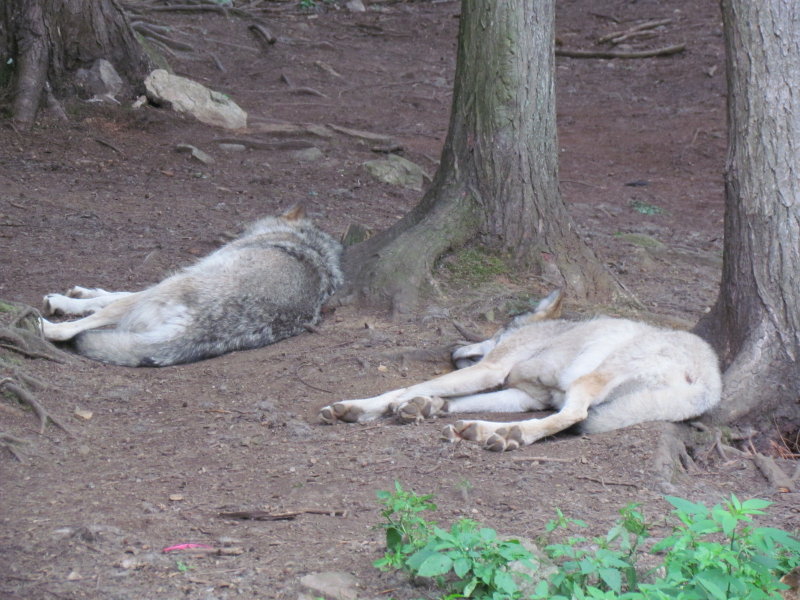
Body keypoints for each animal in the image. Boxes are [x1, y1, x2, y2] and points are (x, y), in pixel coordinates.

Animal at [40, 205, 340, 366]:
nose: (239, 227)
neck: (307, 240)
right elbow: (107, 294)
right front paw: (80, 293)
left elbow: (109, 299)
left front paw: (65, 303)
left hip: (171, 282)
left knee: (74, 329)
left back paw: (46, 325)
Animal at [320, 290, 724, 450]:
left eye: (493, 331)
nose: (452, 351)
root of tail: (709, 383)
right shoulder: (521, 395)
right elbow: (445, 398)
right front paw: (426, 406)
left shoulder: (491, 369)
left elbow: (404, 388)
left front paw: (363, 408)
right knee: (559, 418)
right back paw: (480, 430)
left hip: (588, 378)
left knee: (573, 416)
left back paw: (508, 436)